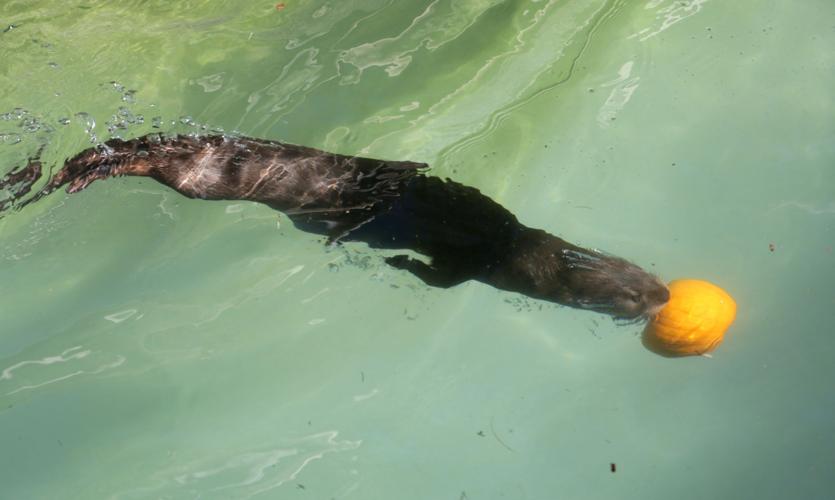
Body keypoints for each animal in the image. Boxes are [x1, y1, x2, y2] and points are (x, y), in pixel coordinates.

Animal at [0, 134, 669, 319]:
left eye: (646, 274)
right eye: (633, 294)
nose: (664, 295)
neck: (513, 249)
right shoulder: (468, 265)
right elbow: (435, 278)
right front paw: (398, 262)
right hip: (206, 179)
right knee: (154, 160)